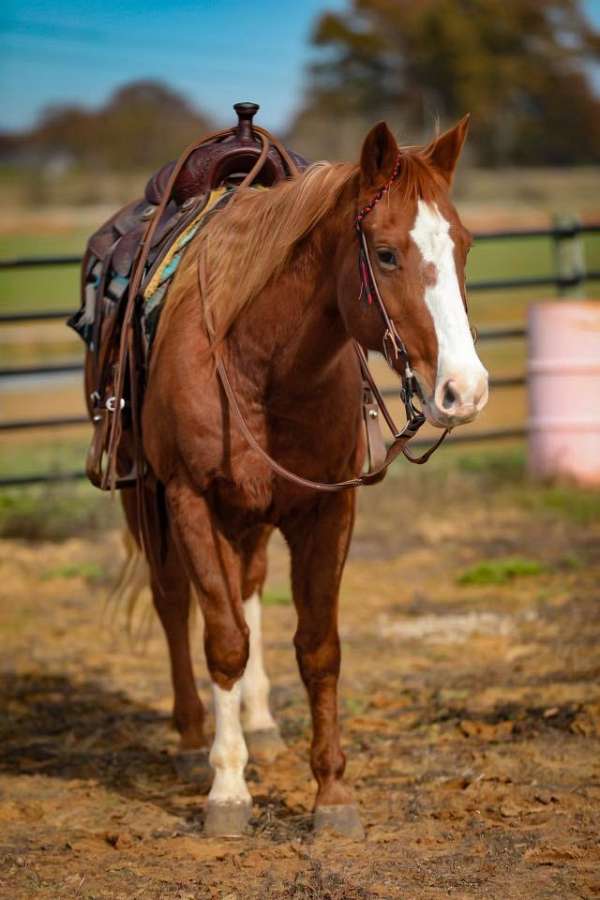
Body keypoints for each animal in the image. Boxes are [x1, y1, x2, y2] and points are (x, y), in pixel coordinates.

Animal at [104, 114, 488, 836]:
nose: (466, 390)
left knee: (249, 586)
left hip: (249, 515)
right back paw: (193, 736)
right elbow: (223, 639)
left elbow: (318, 647)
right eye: (386, 254)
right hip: (147, 500)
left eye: (465, 247)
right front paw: (227, 790)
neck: (257, 358)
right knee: (175, 603)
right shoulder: (190, 500)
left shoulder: (325, 509)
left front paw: (331, 793)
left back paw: (257, 722)